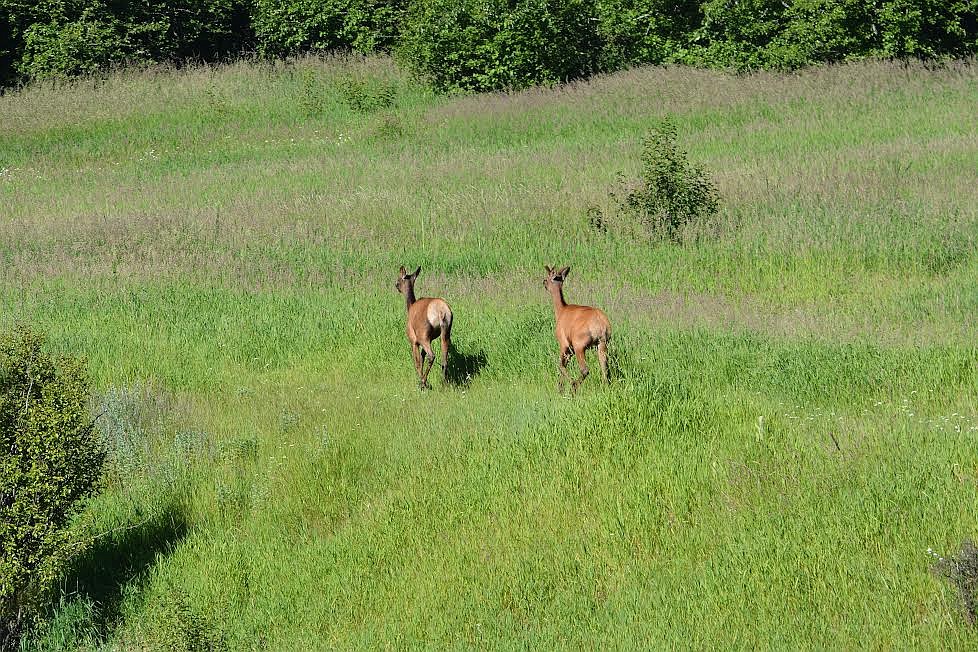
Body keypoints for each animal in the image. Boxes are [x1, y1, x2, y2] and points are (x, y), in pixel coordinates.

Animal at [540, 264, 608, 392]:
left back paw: (574, 387)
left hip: (580, 346)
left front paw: (562, 388)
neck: (560, 311)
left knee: (585, 369)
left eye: (546, 279)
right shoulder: (570, 348)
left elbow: (560, 365)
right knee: (604, 369)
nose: (544, 283)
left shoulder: (564, 344)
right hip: (602, 344)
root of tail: (600, 324)